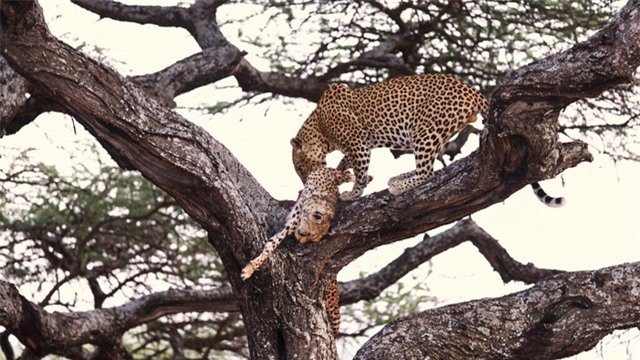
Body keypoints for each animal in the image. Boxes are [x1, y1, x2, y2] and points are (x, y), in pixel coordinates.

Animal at [290, 73, 564, 207]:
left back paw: (399, 185)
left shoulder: (357, 140)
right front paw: (343, 175)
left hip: (424, 128)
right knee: (428, 169)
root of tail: (469, 88)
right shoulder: (358, 144)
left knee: (428, 173)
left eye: (301, 168)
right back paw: (398, 178)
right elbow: (349, 163)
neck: (319, 126)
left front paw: (353, 192)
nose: (304, 182)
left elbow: (360, 167)